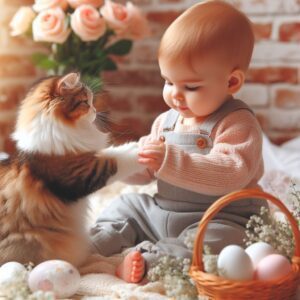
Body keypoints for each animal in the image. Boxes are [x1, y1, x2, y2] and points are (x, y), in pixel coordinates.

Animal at [0, 72, 143, 268]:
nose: (95, 111)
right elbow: (118, 157)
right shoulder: (84, 172)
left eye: (91, 101)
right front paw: (146, 145)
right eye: (85, 102)